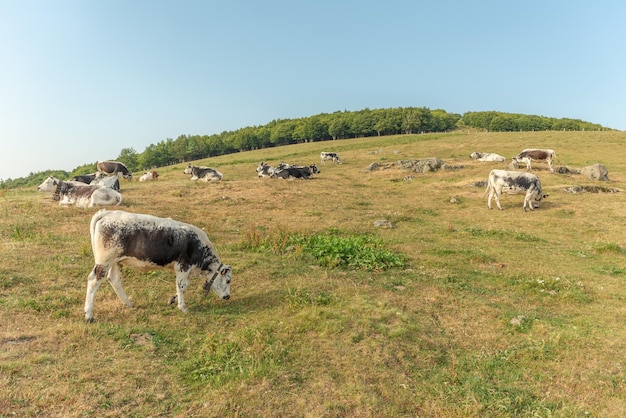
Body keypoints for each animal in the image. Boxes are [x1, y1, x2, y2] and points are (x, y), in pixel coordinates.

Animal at [82, 209, 229, 324]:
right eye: (228, 280)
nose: (227, 297)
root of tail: (108, 213)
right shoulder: (183, 266)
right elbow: (181, 286)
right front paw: (183, 307)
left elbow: (185, 285)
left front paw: (173, 299)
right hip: (104, 261)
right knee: (93, 281)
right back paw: (89, 315)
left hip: (116, 261)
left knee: (114, 279)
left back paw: (128, 303)